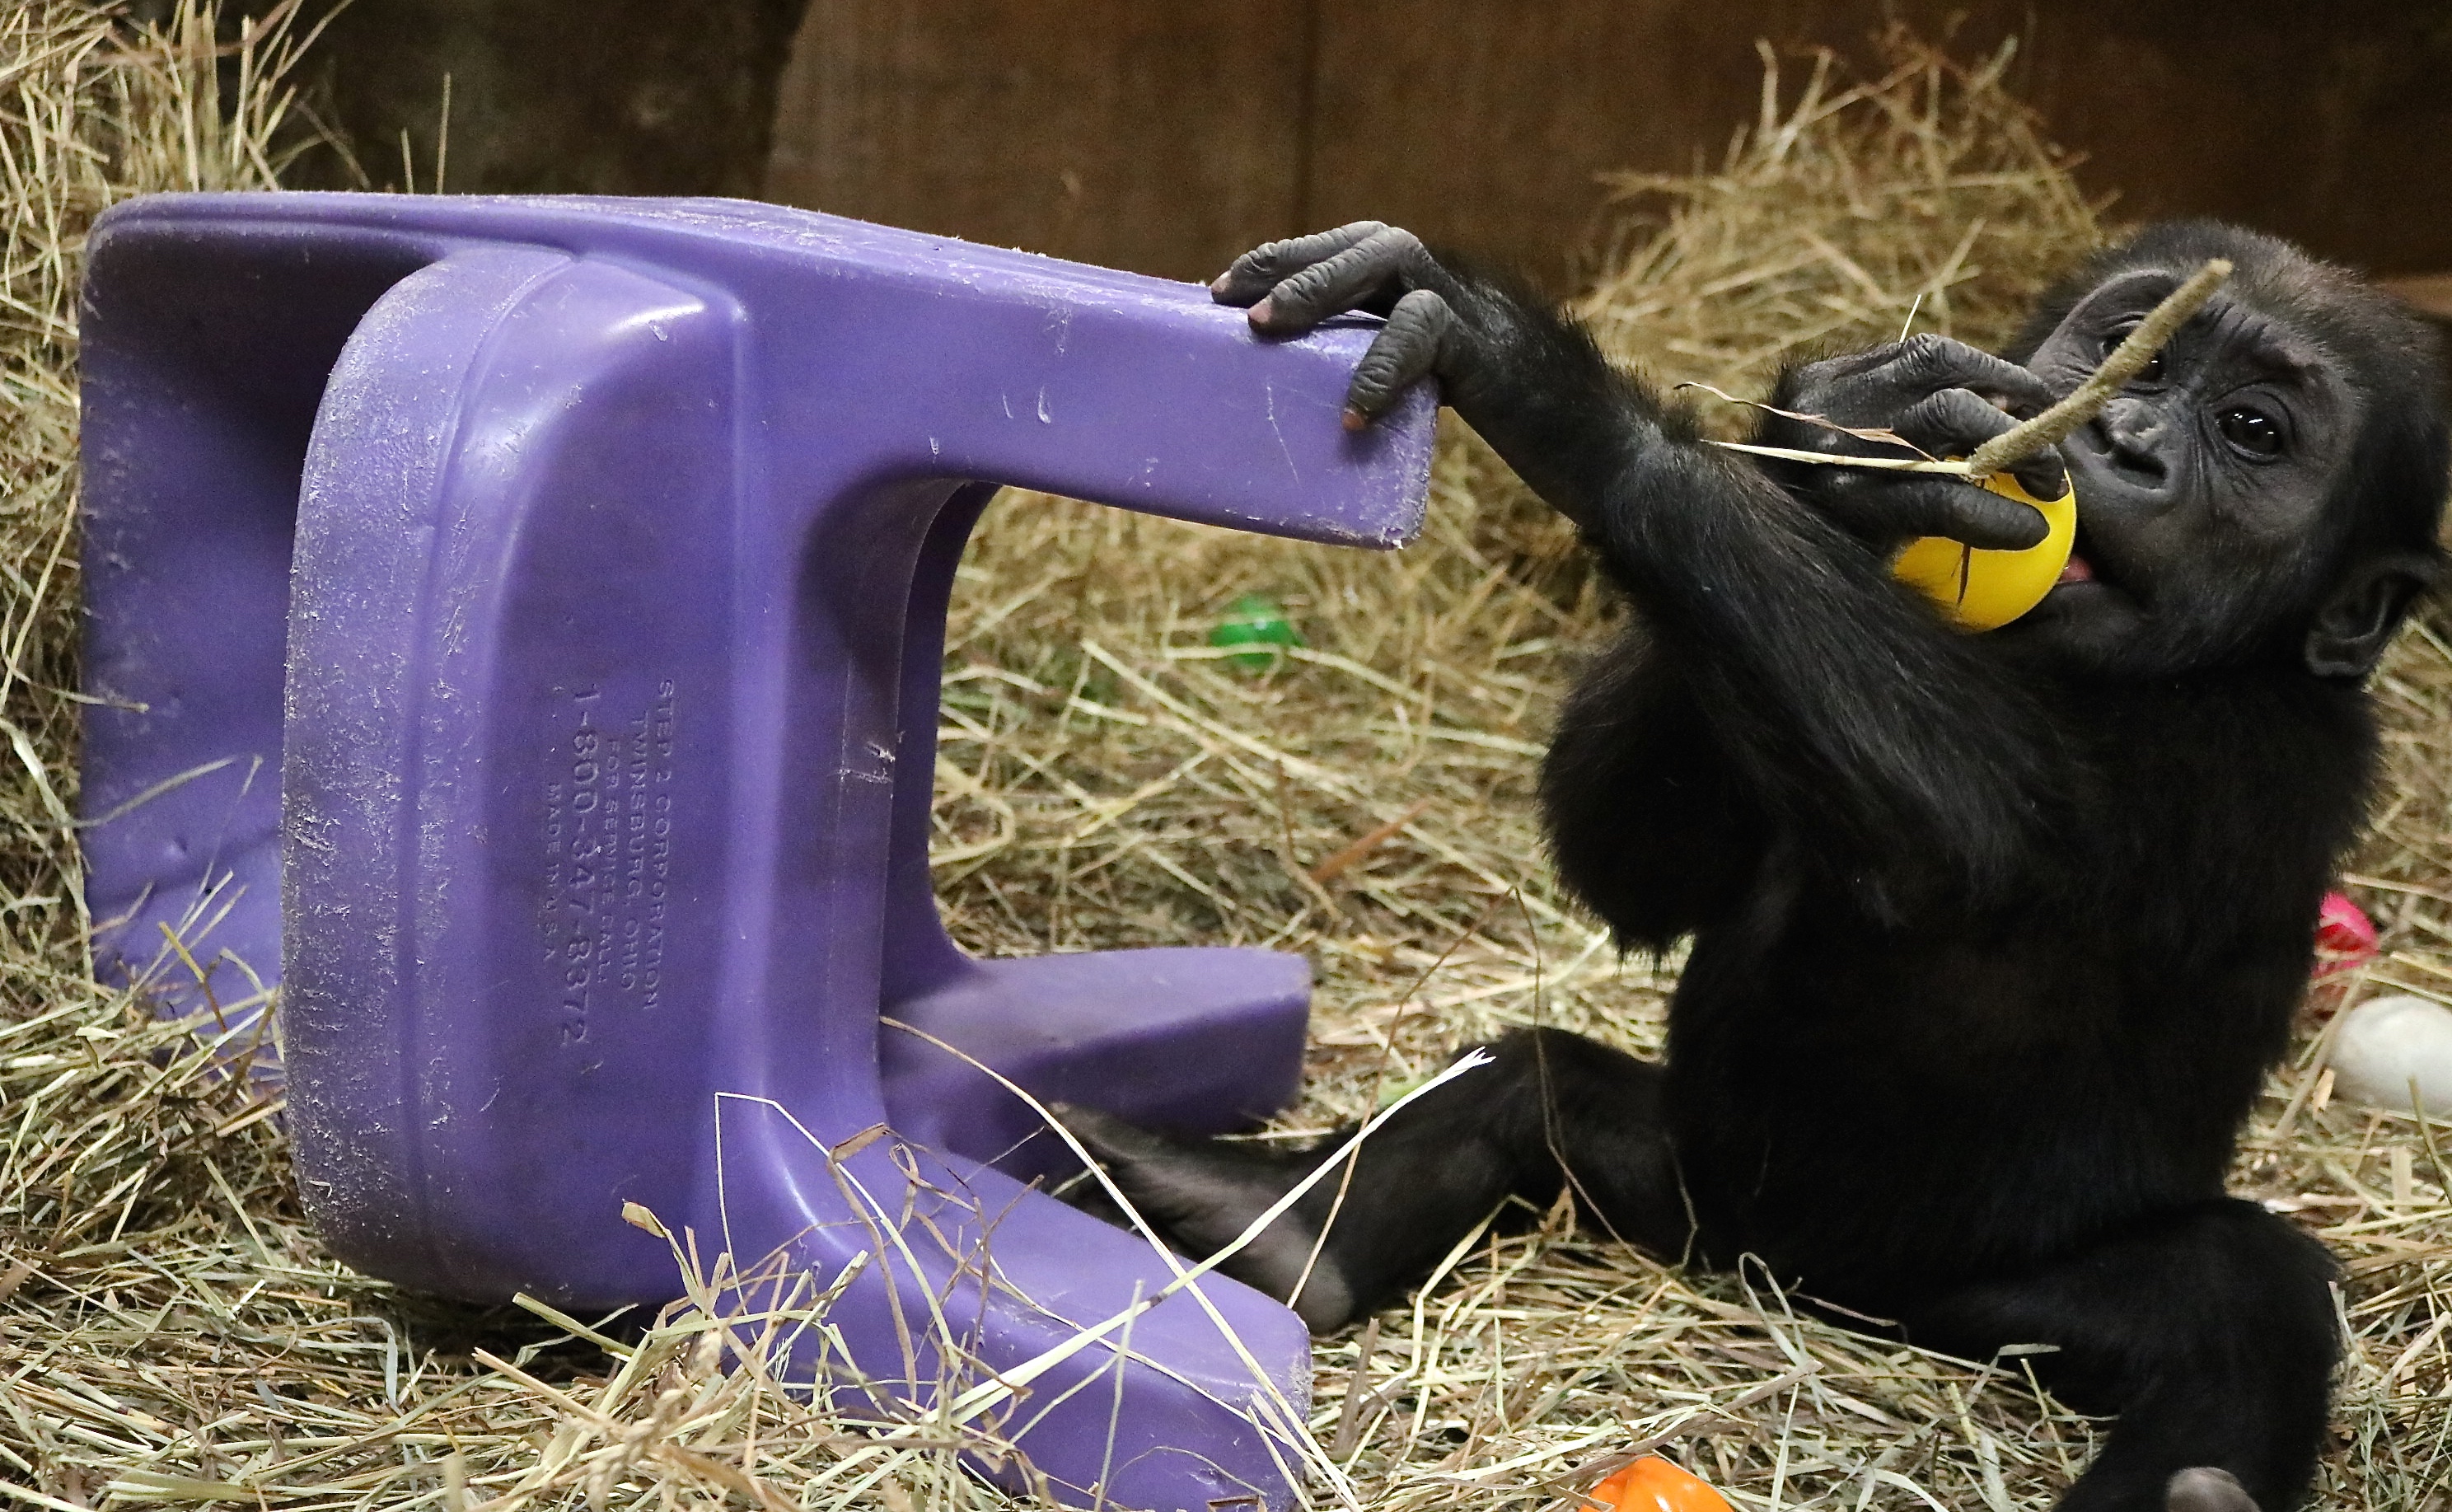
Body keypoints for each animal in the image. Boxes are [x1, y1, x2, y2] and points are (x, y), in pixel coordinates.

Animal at [1059, 220, 2452, 1510]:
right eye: (2132, 350)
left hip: (1978, 1287)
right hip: (1689, 1185)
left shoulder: (2263, 753)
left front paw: (1549, 391)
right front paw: (1853, 447)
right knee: (1524, 1080)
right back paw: (1272, 1224)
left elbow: (1980, 835)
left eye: (2254, 429)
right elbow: (1644, 871)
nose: (2127, 439)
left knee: (2243, 1297)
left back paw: (2197, 1481)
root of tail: (1802, 1287)